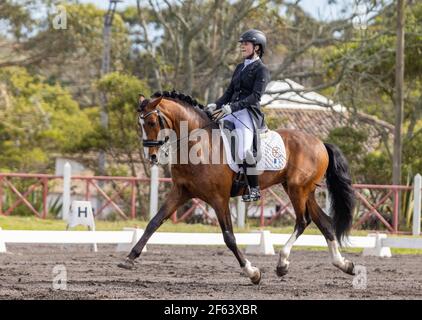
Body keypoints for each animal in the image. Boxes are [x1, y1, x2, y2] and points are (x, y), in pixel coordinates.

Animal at [118, 90, 356, 284]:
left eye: (151, 123)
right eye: (140, 124)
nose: (152, 157)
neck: (198, 143)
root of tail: (320, 143)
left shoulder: (219, 199)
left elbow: (229, 237)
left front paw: (253, 272)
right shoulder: (180, 192)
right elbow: (154, 222)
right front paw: (129, 258)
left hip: (298, 189)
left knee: (303, 220)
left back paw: (282, 263)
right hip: (304, 190)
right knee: (324, 222)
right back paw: (344, 264)